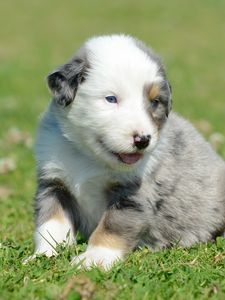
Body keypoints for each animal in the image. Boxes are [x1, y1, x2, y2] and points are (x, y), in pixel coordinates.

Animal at [31, 34, 225, 270]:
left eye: (155, 102)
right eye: (111, 99)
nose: (143, 140)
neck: (89, 157)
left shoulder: (133, 194)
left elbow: (111, 227)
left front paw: (93, 259)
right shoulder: (55, 184)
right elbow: (51, 223)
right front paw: (44, 255)